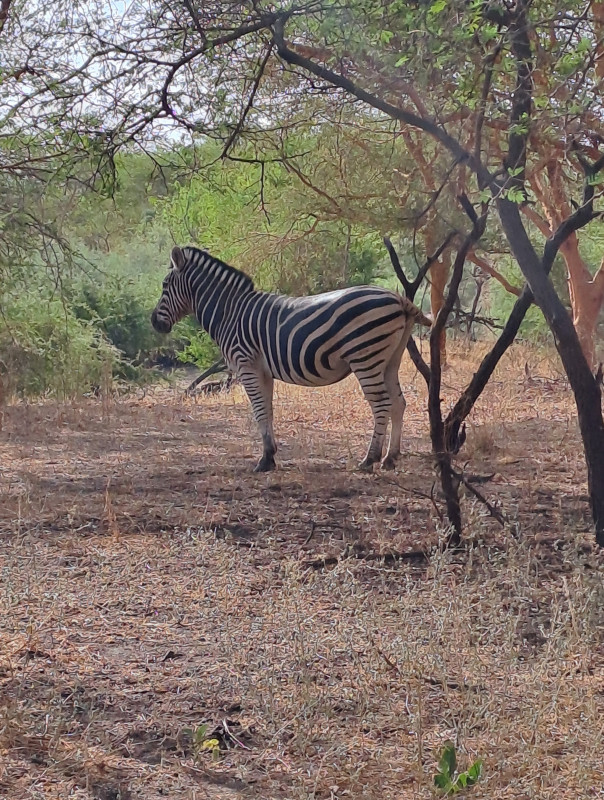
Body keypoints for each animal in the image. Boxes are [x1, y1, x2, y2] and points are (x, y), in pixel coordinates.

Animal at [151, 246, 431, 473]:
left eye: (164, 286)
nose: (154, 322)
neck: (230, 312)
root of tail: (398, 297)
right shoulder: (262, 371)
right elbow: (268, 410)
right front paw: (271, 455)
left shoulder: (247, 365)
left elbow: (259, 411)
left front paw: (265, 460)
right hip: (390, 360)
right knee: (398, 403)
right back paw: (390, 458)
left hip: (365, 357)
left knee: (382, 404)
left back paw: (369, 459)